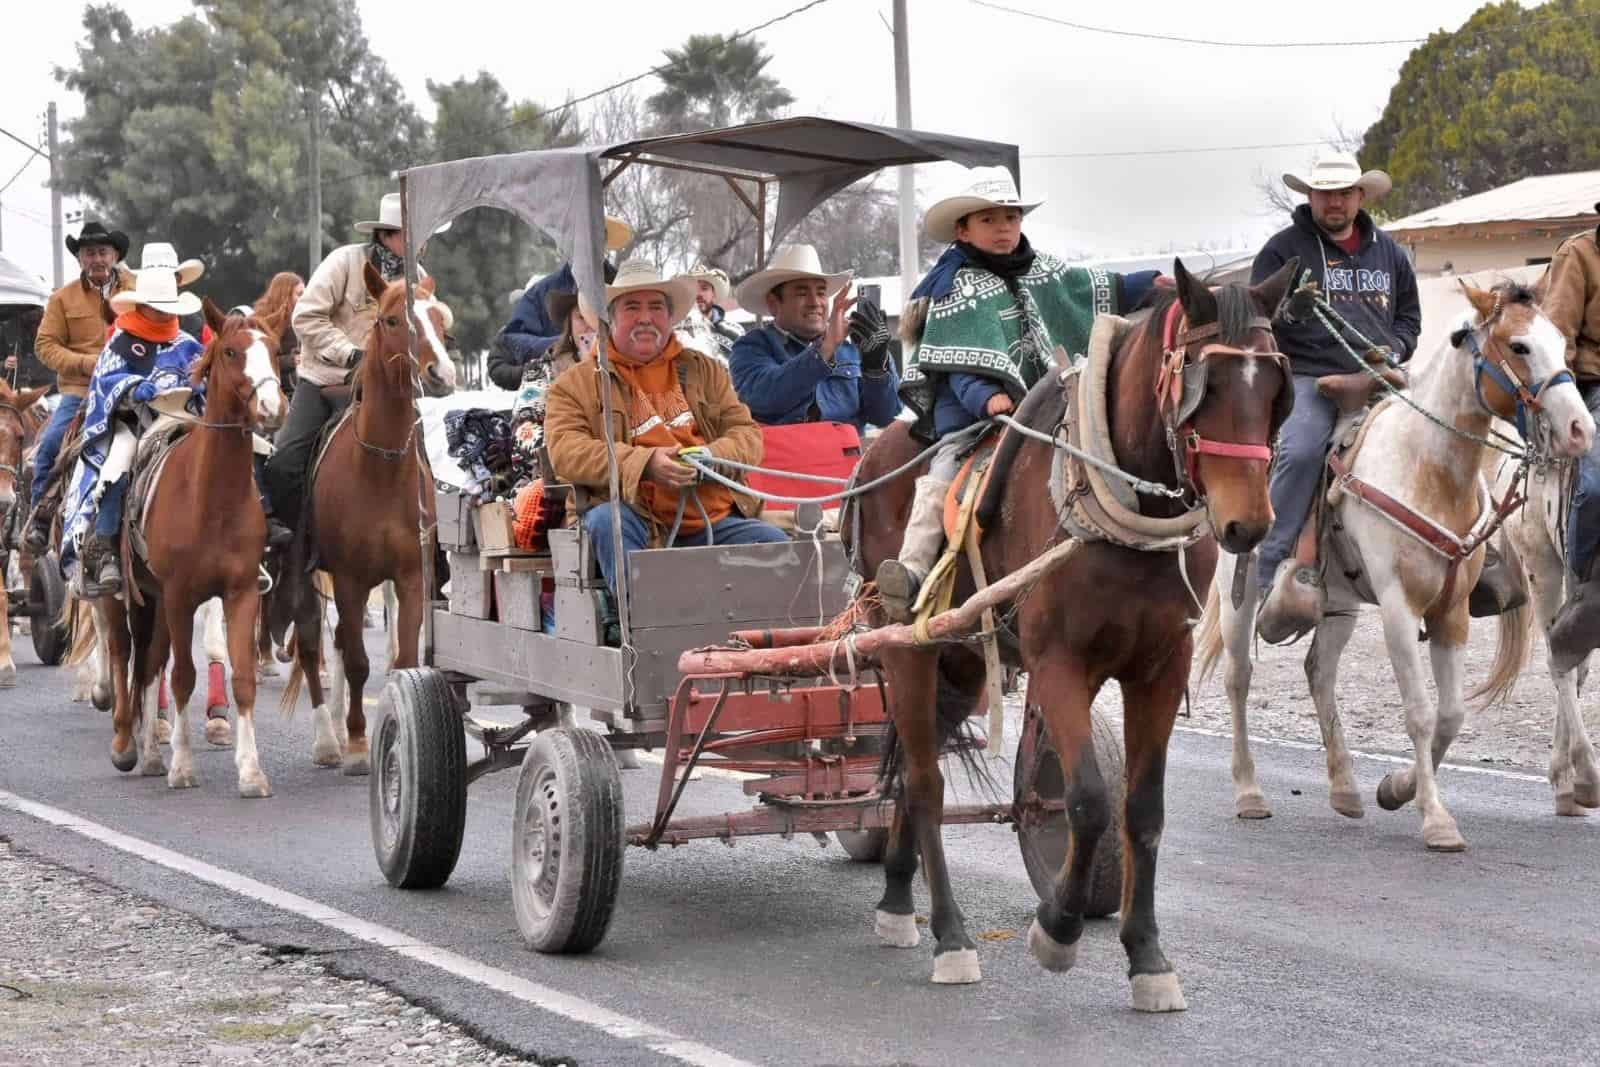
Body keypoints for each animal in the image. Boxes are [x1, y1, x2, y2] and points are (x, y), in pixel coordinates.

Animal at [102, 300, 284, 793]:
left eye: (275, 350)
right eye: (231, 352)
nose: (272, 407)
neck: (211, 498)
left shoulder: (239, 592)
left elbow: (243, 678)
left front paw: (251, 771)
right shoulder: (182, 595)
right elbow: (183, 677)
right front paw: (182, 766)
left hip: (158, 601)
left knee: (150, 663)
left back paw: (149, 752)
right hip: (131, 597)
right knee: (130, 655)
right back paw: (131, 748)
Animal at [281, 262, 454, 771]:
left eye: (442, 321)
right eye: (393, 320)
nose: (441, 374)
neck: (380, 465)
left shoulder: (411, 576)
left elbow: (403, 658)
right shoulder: (351, 578)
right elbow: (357, 661)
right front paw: (358, 743)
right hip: (305, 575)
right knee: (314, 644)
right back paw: (328, 738)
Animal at [857, 259, 1292, 1011]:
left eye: (1272, 390)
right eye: (1202, 390)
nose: (1248, 523)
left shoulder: (1160, 666)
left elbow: (1140, 808)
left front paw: (1146, 955)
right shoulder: (1059, 663)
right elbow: (1087, 800)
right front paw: (1057, 928)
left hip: (962, 664)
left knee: (915, 777)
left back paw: (895, 895)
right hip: (909, 645)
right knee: (925, 783)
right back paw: (950, 935)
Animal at [1203, 283, 1600, 851]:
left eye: (1561, 343)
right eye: (1519, 346)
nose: (1579, 430)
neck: (1427, 467)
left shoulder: (1451, 611)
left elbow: (1450, 715)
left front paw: (1396, 788)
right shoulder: (1398, 607)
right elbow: (1418, 713)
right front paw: (1435, 819)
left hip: (1340, 604)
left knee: (1319, 672)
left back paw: (1345, 788)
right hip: (1239, 585)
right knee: (1239, 676)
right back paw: (1249, 792)